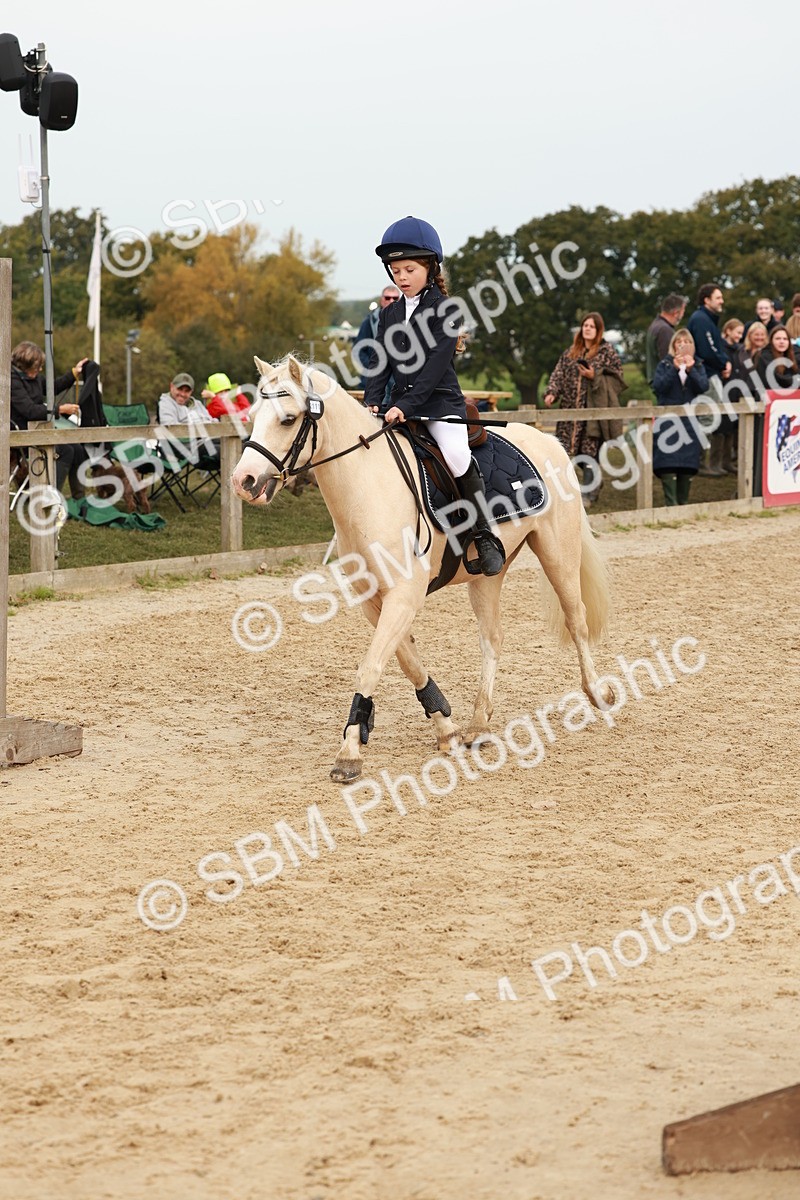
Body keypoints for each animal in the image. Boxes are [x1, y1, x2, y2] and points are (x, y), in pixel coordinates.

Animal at [231, 354, 614, 783]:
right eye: (254, 416)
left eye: (288, 419)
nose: (244, 481)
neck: (369, 485)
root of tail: (548, 441)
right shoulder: (375, 600)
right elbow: (406, 661)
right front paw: (445, 728)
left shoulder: (404, 596)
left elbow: (371, 666)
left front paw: (349, 752)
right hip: (488, 575)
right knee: (492, 638)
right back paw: (478, 724)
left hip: (557, 553)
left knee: (576, 619)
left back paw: (598, 693)